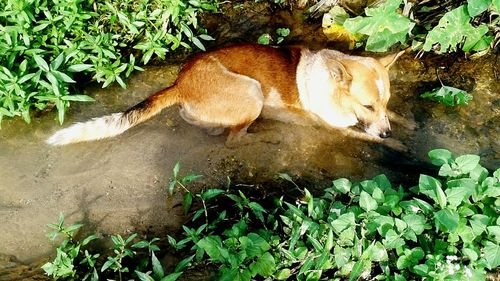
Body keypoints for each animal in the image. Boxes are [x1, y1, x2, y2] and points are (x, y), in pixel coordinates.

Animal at [46, 43, 406, 147]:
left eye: (382, 103)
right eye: (366, 105)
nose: (386, 131)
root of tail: (180, 83)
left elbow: (396, 118)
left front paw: (408, 125)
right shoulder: (336, 128)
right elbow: (372, 138)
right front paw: (400, 146)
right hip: (252, 91)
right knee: (234, 139)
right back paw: (263, 137)